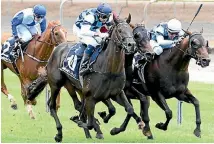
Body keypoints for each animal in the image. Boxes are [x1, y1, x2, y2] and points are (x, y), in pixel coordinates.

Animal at [46, 14, 136, 142]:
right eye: (119, 30)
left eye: (131, 31)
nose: (131, 45)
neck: (109, 69)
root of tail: (58, 48)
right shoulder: (90, 97)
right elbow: (89, 122)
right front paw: (83, 121)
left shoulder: (116, 93)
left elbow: (129, 109)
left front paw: (115, 129)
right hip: (55, 85)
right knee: (52, 106)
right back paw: (59, 133)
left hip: (72, 86)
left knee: (77, 104)